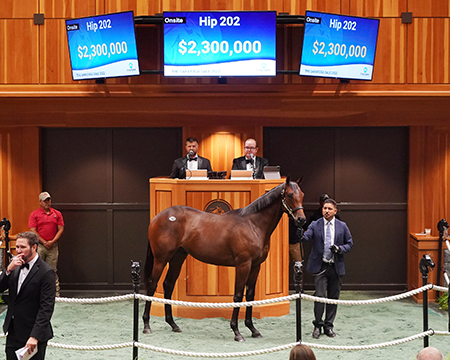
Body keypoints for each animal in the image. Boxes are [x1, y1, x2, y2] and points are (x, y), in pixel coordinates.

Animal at [144, 176, 306, 342]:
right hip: (161, 258)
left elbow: (250, 295)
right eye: (290, 195)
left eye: (302, 194)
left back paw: (173, 324)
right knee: (152, 285)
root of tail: (158, 217)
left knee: (168, 285)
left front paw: (253, 329)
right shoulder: (243, 264)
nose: (301, 220)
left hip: (177, 257)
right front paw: (237, 332)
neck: (253, 225)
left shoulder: (255, 266)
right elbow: (238, 295)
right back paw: (146, 325)